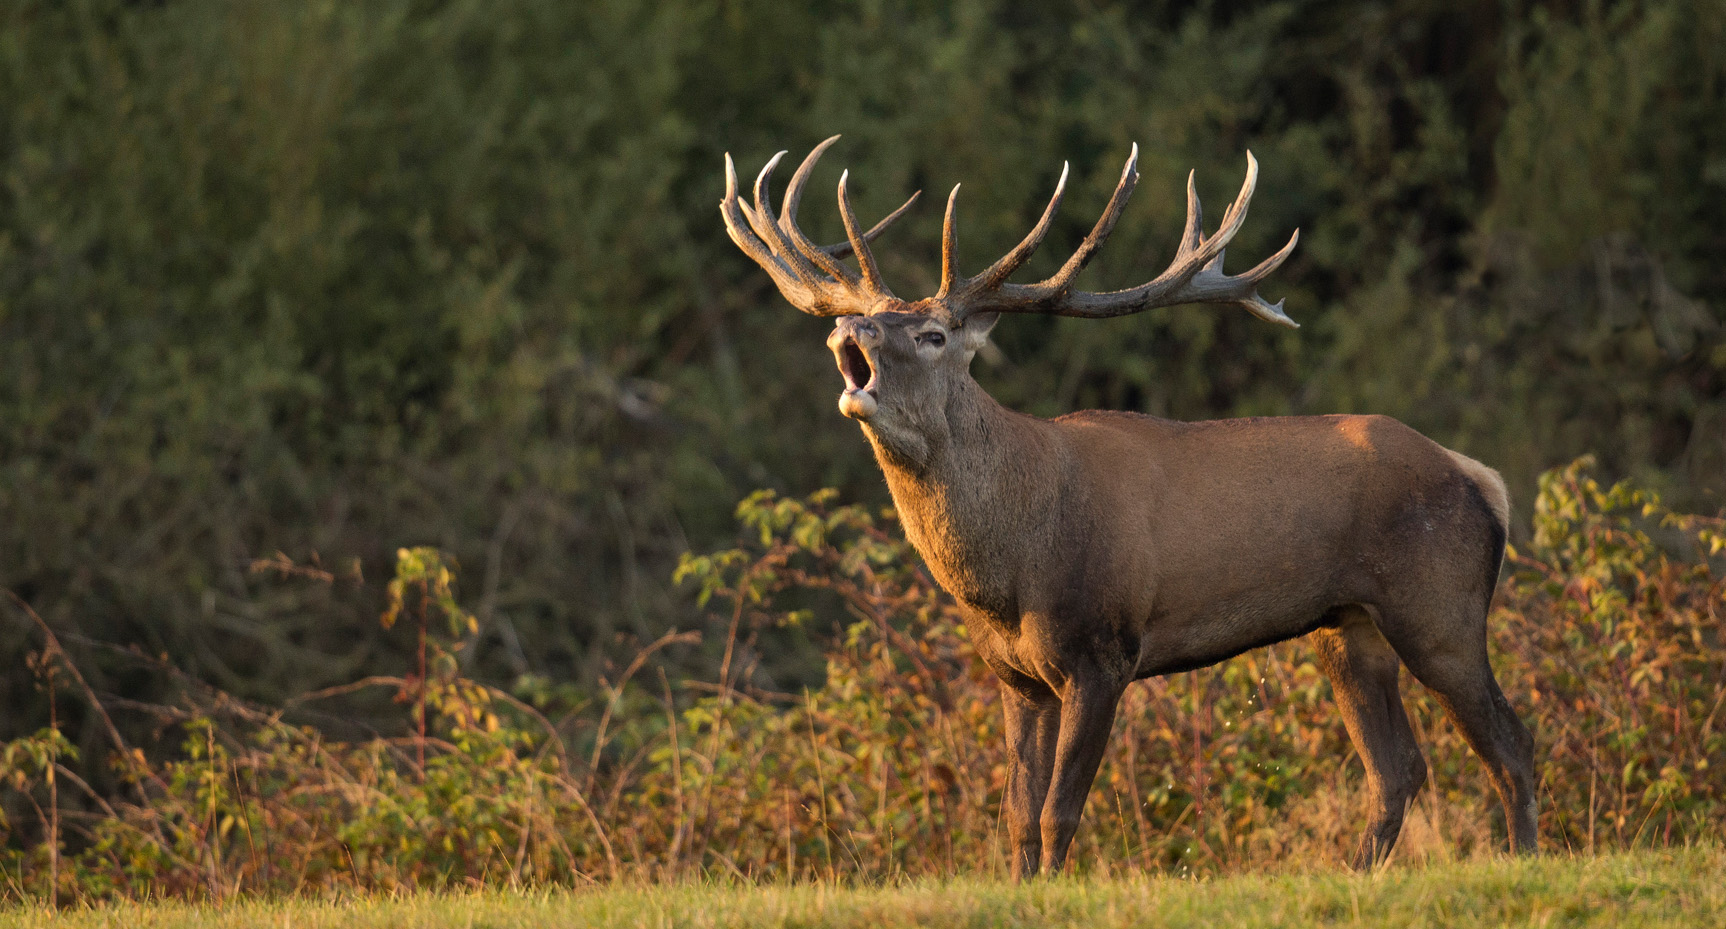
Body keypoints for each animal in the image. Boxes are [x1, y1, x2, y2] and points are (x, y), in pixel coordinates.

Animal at [719, 136, 1537, 879]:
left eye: (932, 333)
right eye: (868, 319)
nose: (847, 327)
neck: (1008, 569)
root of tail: (1482, 478)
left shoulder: (1102, 650)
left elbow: (1059, 809)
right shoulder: (1014, 675)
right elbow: (1016, 813)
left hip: (1438, 605)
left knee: (1510, 741)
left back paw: (1526, 857)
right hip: (1348, 628)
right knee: (1397, 768)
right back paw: (1359, 871)